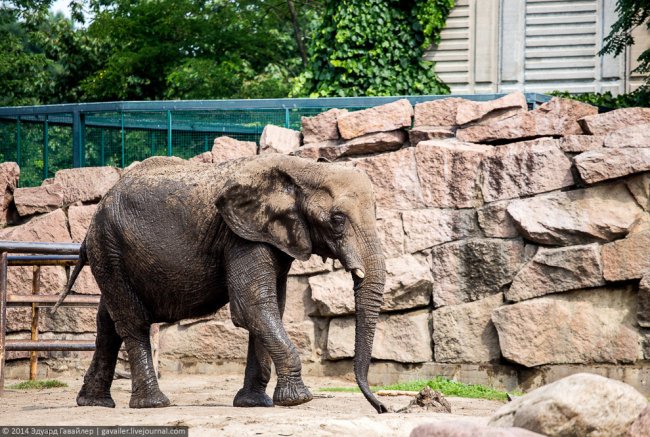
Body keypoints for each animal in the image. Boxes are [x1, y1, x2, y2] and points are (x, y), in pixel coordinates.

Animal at [54, 153, 384, 412]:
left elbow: (270, 308)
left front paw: (254, 404)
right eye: (337, 220)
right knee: (132, 321)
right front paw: (298, 400)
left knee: (107, 321)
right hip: (108, 246)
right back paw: (153, 404)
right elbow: (252, 307)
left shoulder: (269, 236)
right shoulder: (240, 235)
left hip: (110, 253)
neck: (301, 169)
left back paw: (94, 403)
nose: (381, 407)